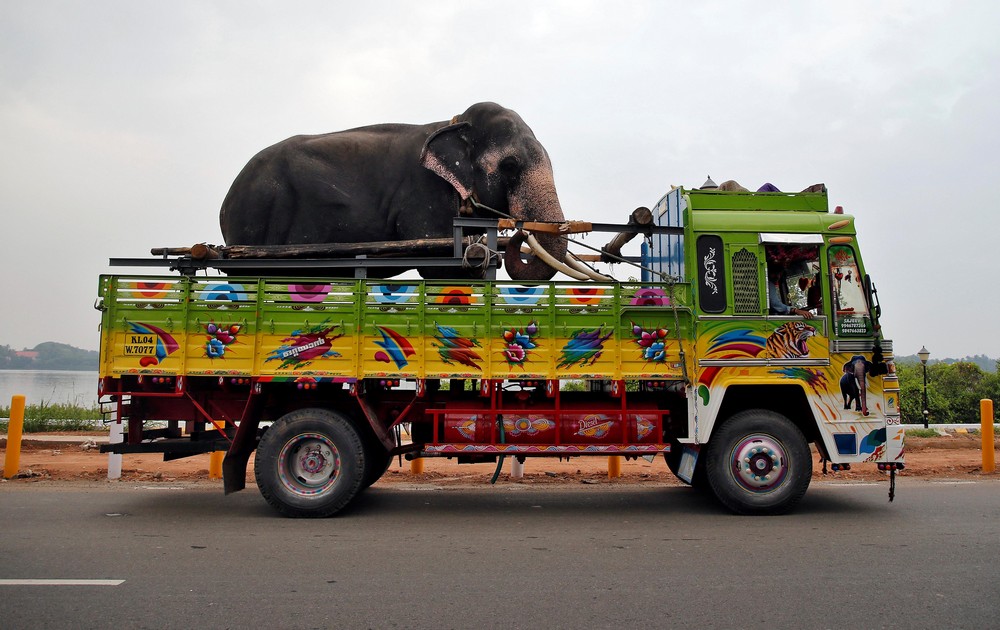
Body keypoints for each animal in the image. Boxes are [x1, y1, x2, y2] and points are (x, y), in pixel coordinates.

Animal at [220, 102, 568, 280]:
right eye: (509, 166)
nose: (521, 233)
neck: (451, 123)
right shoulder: (424, 194)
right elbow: (441, 262)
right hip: (257, 216)